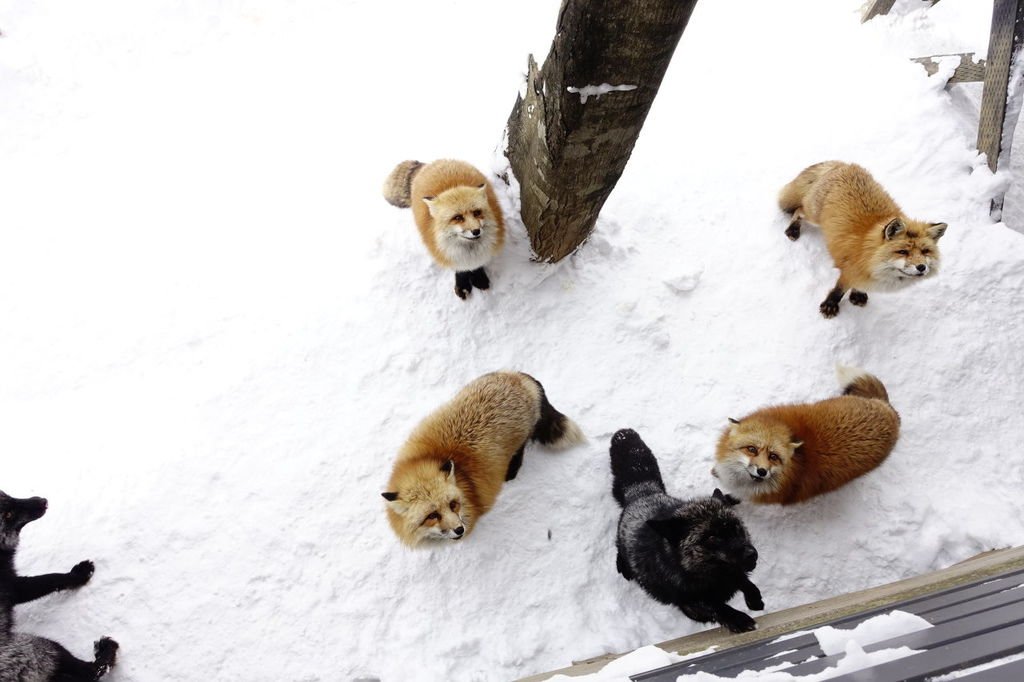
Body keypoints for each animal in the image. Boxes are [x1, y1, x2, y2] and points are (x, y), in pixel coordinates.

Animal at [382, 160, 505, 299]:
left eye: (477, 212)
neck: (469, 251)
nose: (476, 231)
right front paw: (462, 285)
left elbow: (478, 265)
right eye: (457, 217)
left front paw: (478, 277)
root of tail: (433, 163)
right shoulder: (449, 253)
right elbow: (460, 269)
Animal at [382, 368, 585, 544]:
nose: (460, 530)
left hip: (520, 441)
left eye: (453, 504)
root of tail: (520, 377)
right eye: (432, 516)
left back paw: (511, 473)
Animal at [606, 428, 761, 630]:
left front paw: (753, 596)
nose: (752, 554)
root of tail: (643, 491)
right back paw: (623, 565)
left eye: (737, 527)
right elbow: (714, 607)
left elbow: (743, 579)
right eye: (712, 538)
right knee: (618, 548)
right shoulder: (690, 602)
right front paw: (737, 618)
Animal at [778, 160, 946, 317]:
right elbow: (838, 290)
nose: (921, 267)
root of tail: (846, 165)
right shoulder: (849, 271)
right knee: (798, 211)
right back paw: (793, 229)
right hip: (813, 216)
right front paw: (830, 306)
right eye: (902, 252)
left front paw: (858, 295)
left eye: (925, 251)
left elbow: (858, 286)